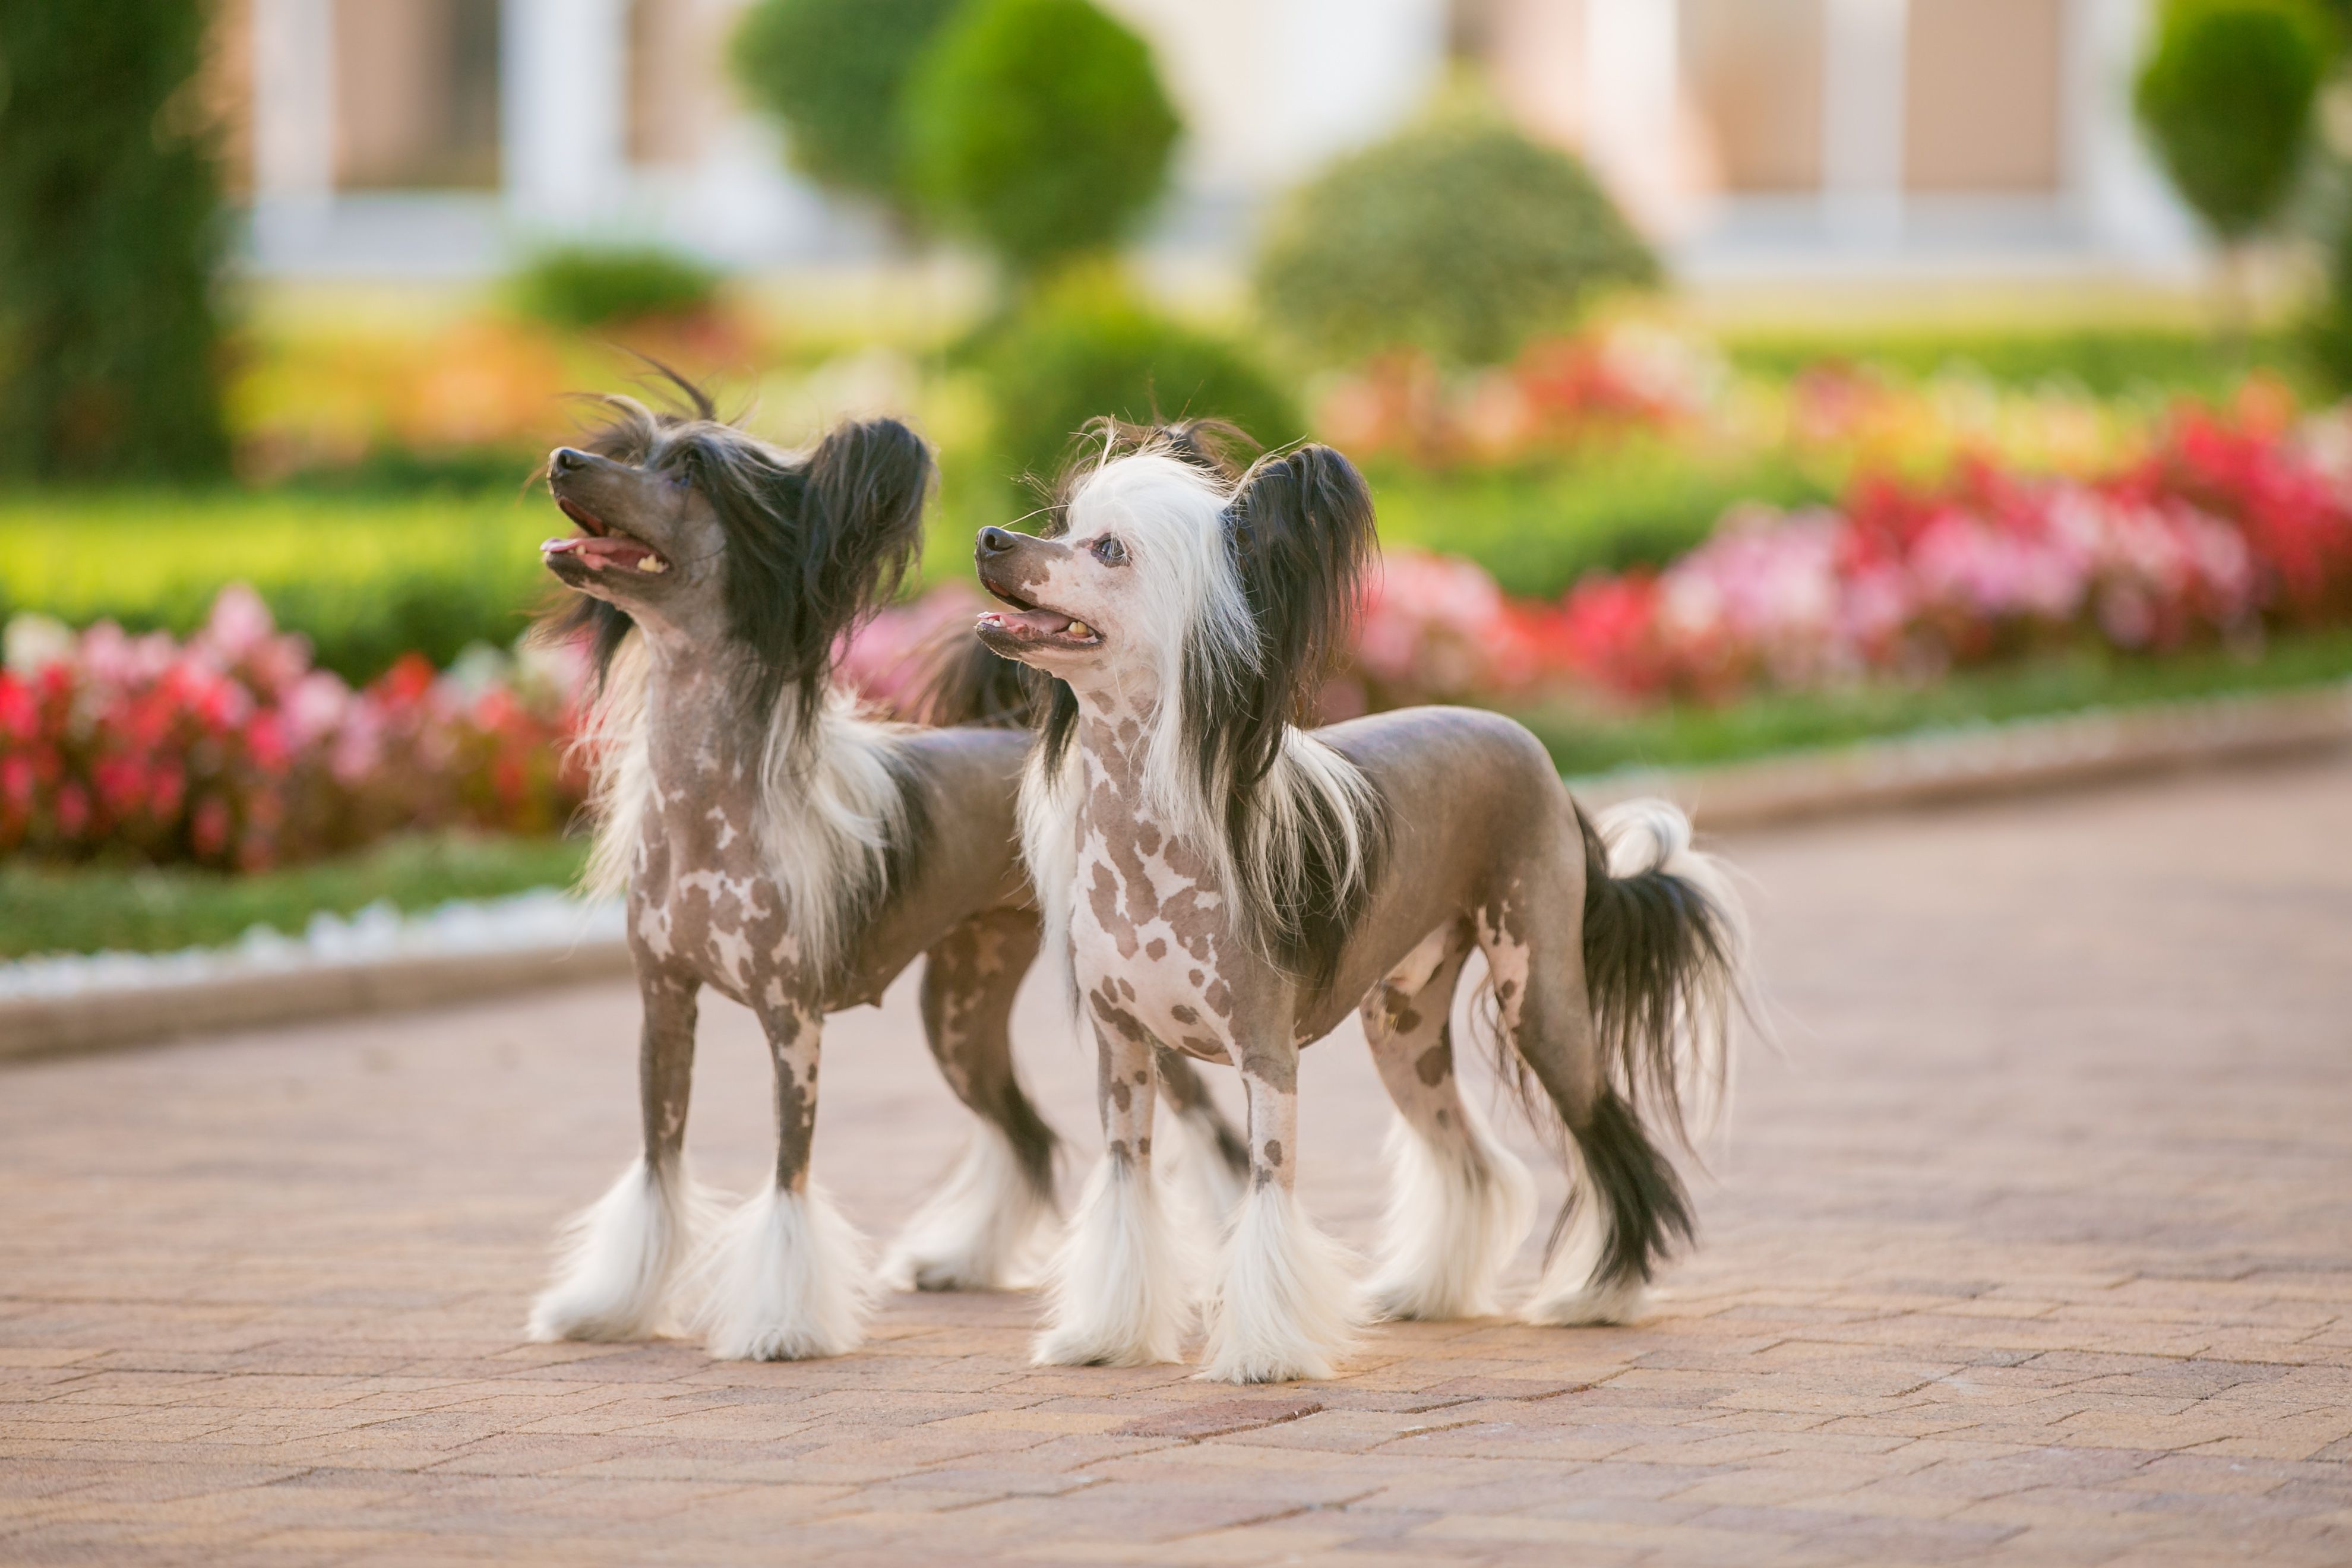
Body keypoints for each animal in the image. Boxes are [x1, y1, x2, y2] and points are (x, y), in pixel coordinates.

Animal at [520, 383, 1251, 1363]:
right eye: (634, 452)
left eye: (687, 474)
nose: (565, 460)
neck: (706, 803)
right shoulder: (664, 1006)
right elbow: (656, 1165)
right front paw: (612, 1306)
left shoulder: (792, 1023)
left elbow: (788, 1177)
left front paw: (782, 1324)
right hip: (961, 1010)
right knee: (1025, 1133)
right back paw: (964, 1259)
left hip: (1134, 1014)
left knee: (1209, 1131)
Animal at [964, 423, 1759, 1382]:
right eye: (1062, 525)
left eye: (1108, 549)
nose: (989, 539)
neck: (1147, 831)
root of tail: (1540, 756)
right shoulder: (1124, 1055)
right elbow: (1127, 1192)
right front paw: (1107, 1337)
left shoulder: (1266, 1057)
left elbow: (1268, 1195)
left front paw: (1262, 1353)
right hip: (1403, 1027)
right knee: (1468, 1158)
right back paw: (1428, 1291)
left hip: (1540, 995)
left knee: (1607, 1131)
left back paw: (1602, 1295)